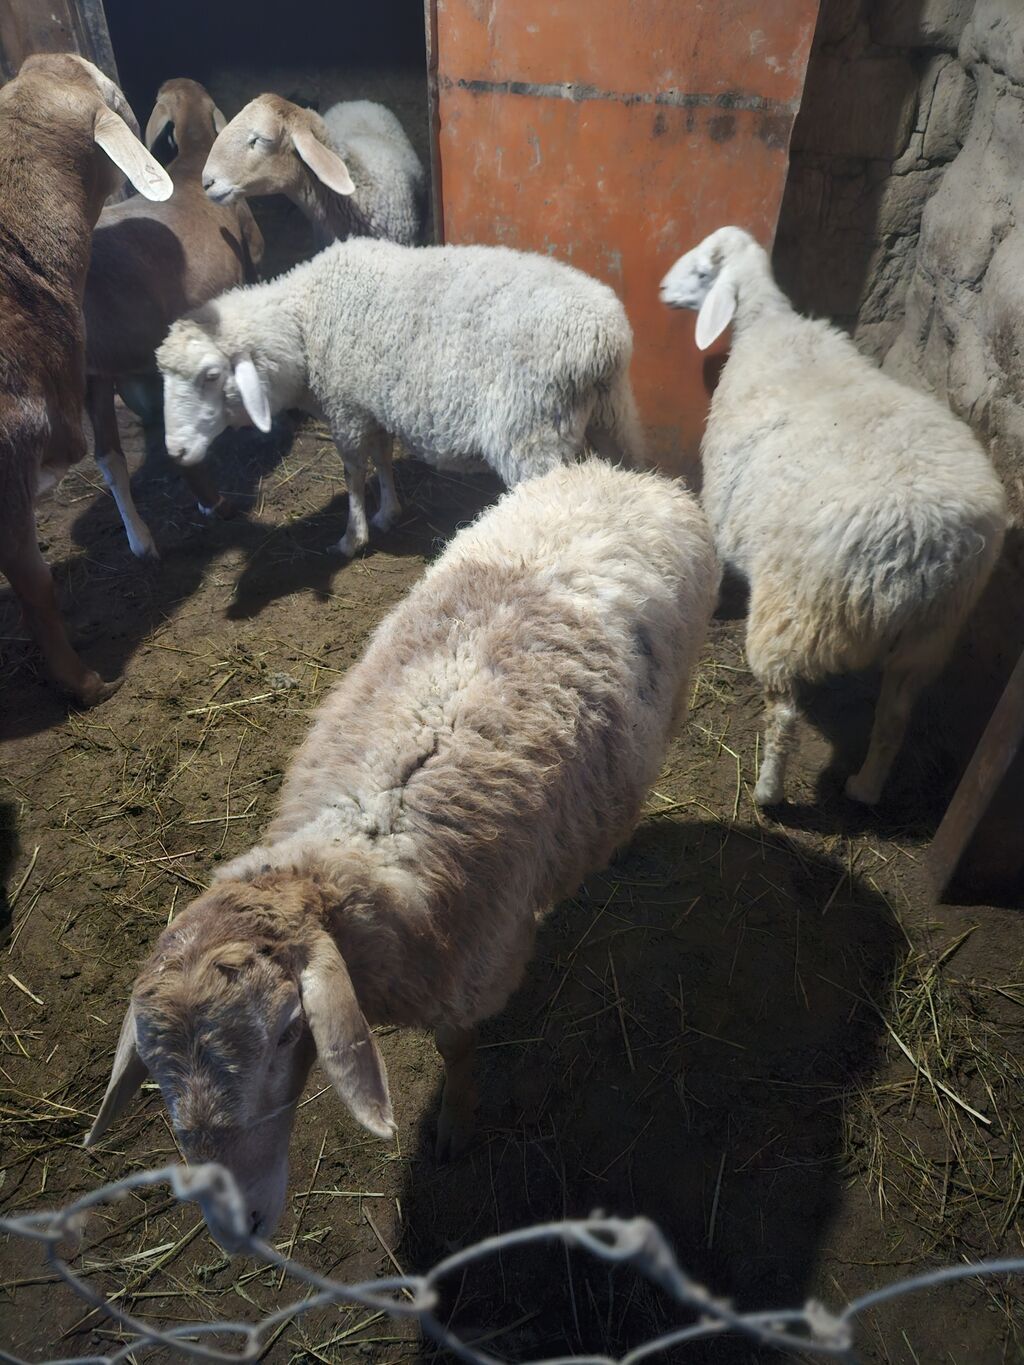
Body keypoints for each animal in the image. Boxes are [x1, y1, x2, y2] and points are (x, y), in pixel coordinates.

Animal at [84, 78, 264, 560]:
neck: (193, 156)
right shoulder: (252, 248)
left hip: (95, 377)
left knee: (109, 457)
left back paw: (141, 540)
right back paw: (215, 504)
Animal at [84, 458, 718, 1245]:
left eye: (289, 1030)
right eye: (153, 1065)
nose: (236, 1228)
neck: (352, 846)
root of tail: (626, 474)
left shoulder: (474, 972)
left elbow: (459, 1051)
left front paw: (455, 1121)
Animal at [155, 237, 644, 558]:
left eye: (211, 375)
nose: (174, 452)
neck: (302, 323)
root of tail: (603, 339)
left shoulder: (347, 409)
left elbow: (353, 473)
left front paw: (351, 538)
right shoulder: (373, 407)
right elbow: (383, 459)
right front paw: (387, 512)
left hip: (532, 434)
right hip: (611, 418)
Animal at [660, 225, 1008, 808]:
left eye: (704, 270)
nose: (662, 290)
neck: (769, 324)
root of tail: (925, 545)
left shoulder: (719, 496)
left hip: (792, 609)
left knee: (784, 714)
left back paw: (768, 793)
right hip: (929, 637)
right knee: (893, 720)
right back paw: (865, 789)